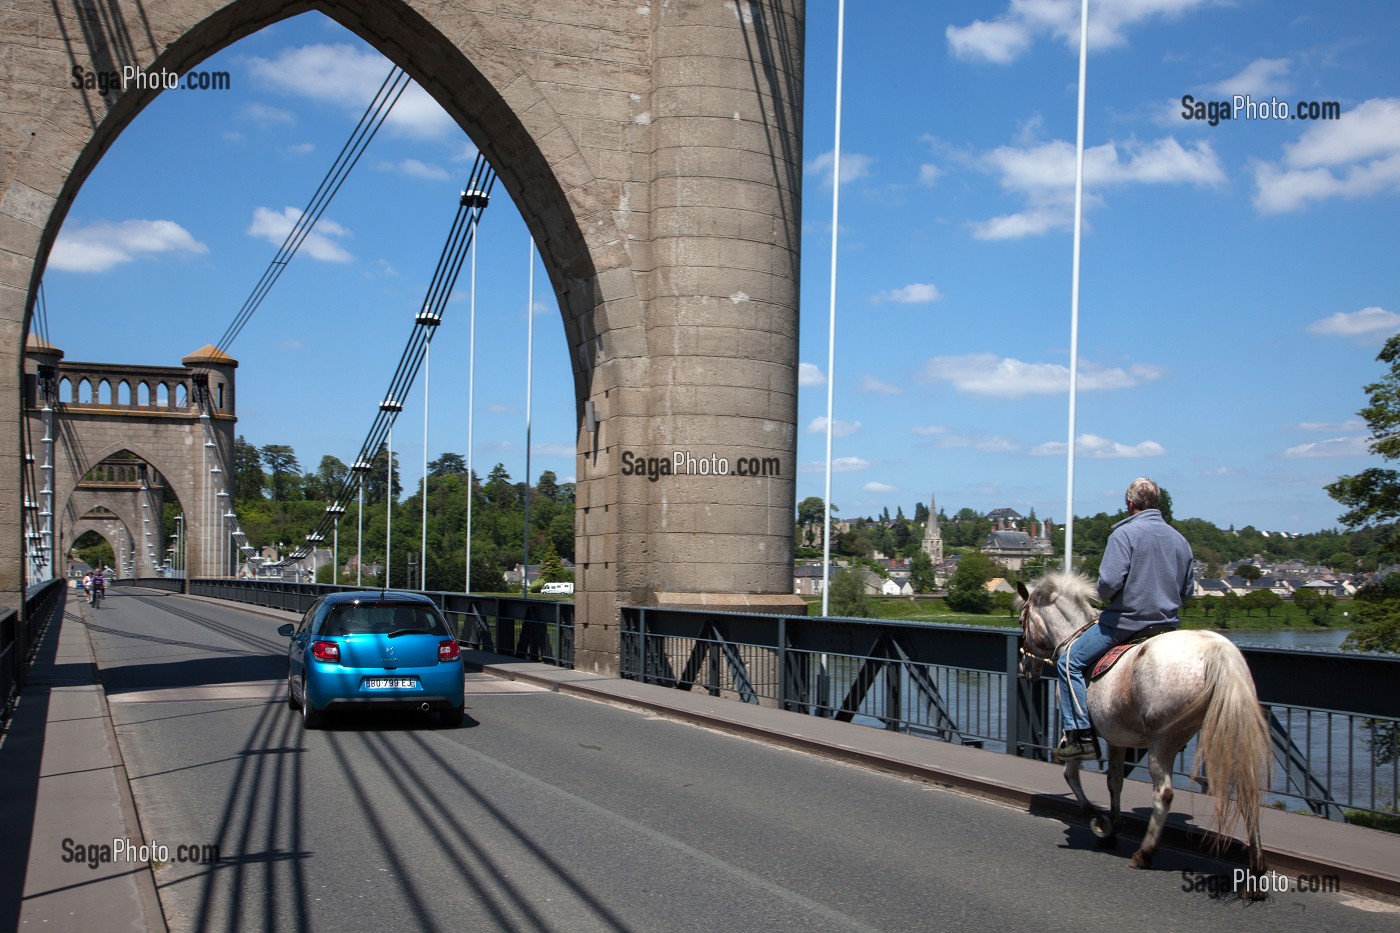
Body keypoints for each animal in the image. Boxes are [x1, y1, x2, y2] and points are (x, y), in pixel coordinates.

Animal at [1019, 571, 1271, 885]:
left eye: (1022, 619)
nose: (1024, 665)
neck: (1072, 637)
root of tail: (1218, 649)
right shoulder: (1117, 738)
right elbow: (1114, 780)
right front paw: (1112, 826)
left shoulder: (1078, 730)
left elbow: (1072, 774)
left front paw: (1099, 821)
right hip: (1229, 731)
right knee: (1248, 791)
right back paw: (1256, 866)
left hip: (1164, 741)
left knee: (1163, 793)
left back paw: (1145, 853)